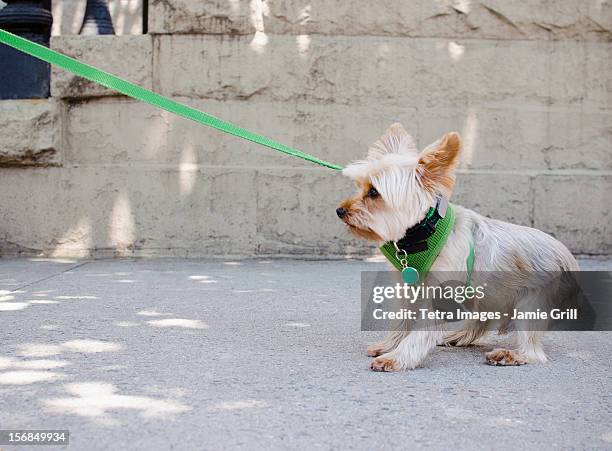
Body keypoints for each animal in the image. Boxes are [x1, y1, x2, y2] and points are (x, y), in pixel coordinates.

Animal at [338, 124, 576, 374]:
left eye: (374, 192)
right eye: (360, 186)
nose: (339, 210)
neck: (422, 233)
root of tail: (567, 257)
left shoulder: (442, 293)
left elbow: (421, 331)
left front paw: (398, 358)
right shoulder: (410, 289)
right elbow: (403, 320)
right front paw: (389, 345)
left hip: (531, 301)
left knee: (533, 350)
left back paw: (511, 355)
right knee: (482, 320)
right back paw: (459, 337)